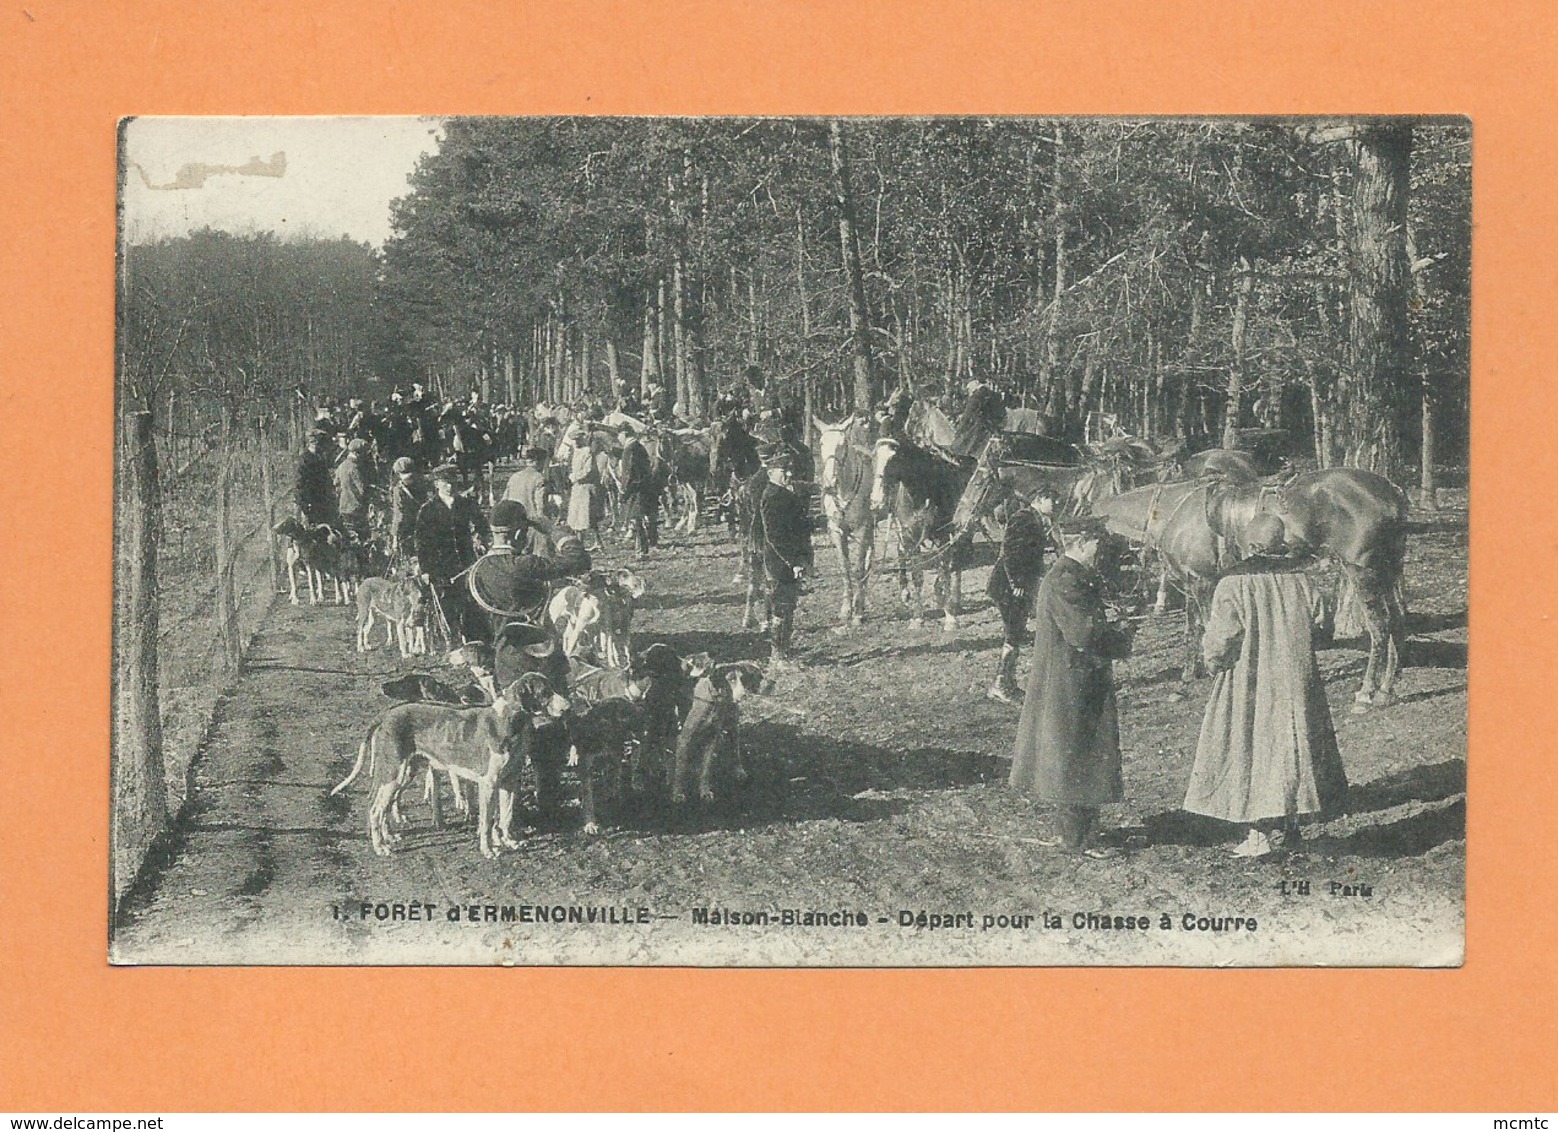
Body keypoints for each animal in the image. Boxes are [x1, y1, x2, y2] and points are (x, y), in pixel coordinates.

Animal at [816, 414, 878, 629]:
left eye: (842, 444)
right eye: (821, 443)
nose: (829, 484)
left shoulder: (861, 529)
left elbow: (858, 568)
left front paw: (857, 613)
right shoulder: (836, 530)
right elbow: (844, 568)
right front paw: (845, 609)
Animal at [1090, 470, 1408, 710]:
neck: (1172, 512)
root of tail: (1391, 490)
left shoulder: (1203, 583)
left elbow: (1207, 630)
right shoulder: (1192, 584)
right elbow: (1191, 632)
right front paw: (1184, 682)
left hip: (1362, 571)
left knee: (1380, 626)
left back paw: (1366, 693)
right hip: (1387, 571)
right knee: (1395, 621)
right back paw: (1386, 689)